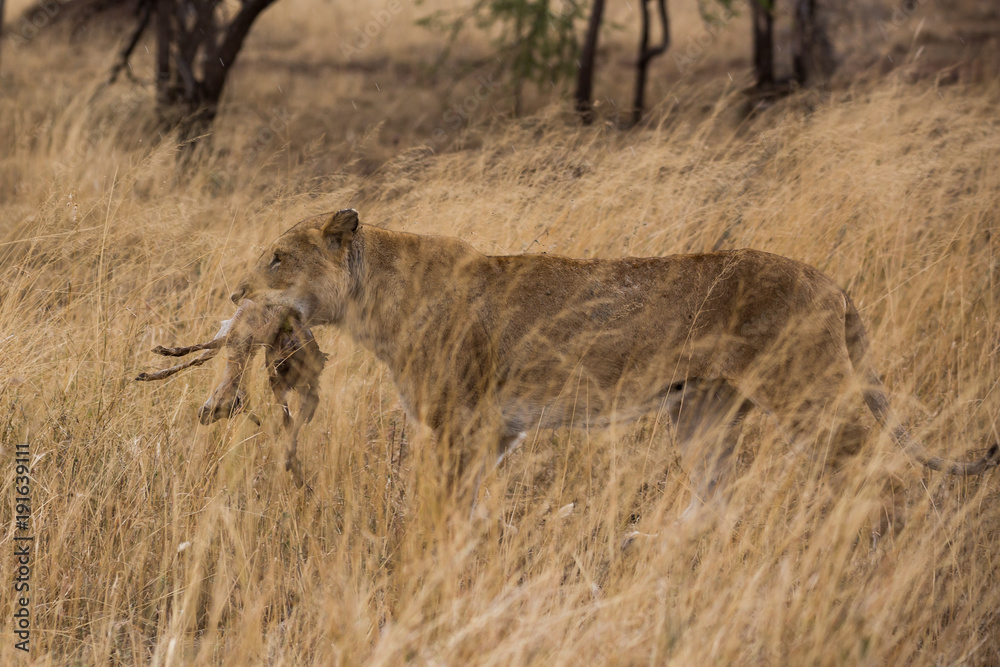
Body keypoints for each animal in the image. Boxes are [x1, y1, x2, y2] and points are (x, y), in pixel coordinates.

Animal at [204, 208, 997, 528]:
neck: (375, 299)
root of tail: (830, 281)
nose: (236, 294)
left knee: (888, 481)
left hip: (810, 394)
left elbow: (441, 504)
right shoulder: (496, 430)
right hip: (704, 414)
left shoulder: (460, 421)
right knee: (717, 502)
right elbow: (473, 507)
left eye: (277, 256)